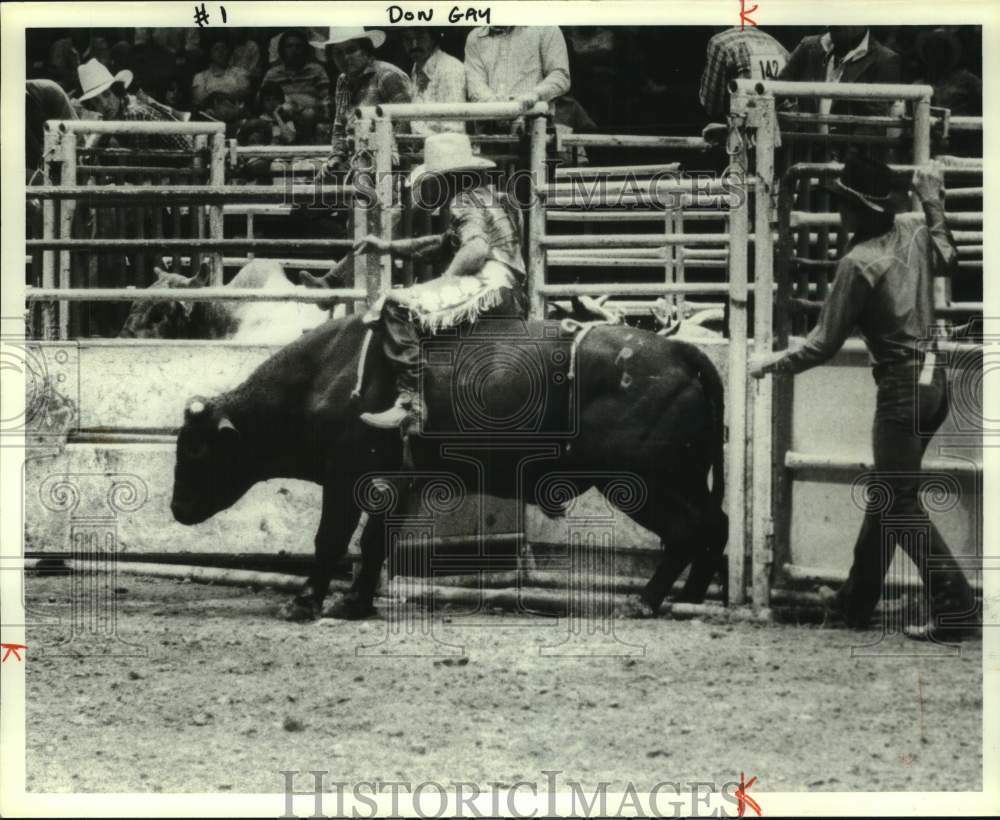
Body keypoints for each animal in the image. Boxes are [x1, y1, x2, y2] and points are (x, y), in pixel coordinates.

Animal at [166, 314, 728, 620]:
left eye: (195, 450)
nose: (177, 508)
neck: (327, 375)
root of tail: (680, 351)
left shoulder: (346, 478)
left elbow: (332, 539)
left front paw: (306, 602)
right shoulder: (399, 482)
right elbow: (376, 541)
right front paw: (356, 602)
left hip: (642, 483)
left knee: (687, 531)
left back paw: (645, 601)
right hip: (682, 478)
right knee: (714, 525)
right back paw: (694, 597)